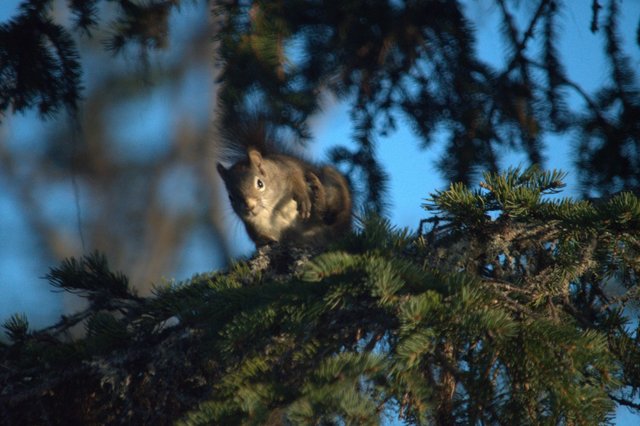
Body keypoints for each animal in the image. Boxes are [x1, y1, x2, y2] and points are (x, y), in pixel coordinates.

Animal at [218, 147, 352, 248]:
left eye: (260, 184)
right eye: (230, 197)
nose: (249, 206)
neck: (272, 207)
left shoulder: (287, 169)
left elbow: (297, 178)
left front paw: (303, 198)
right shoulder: (255, 226)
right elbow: (259, 237)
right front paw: (265, 240)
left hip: (333, 183)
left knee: (333, 220)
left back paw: (319, 195)